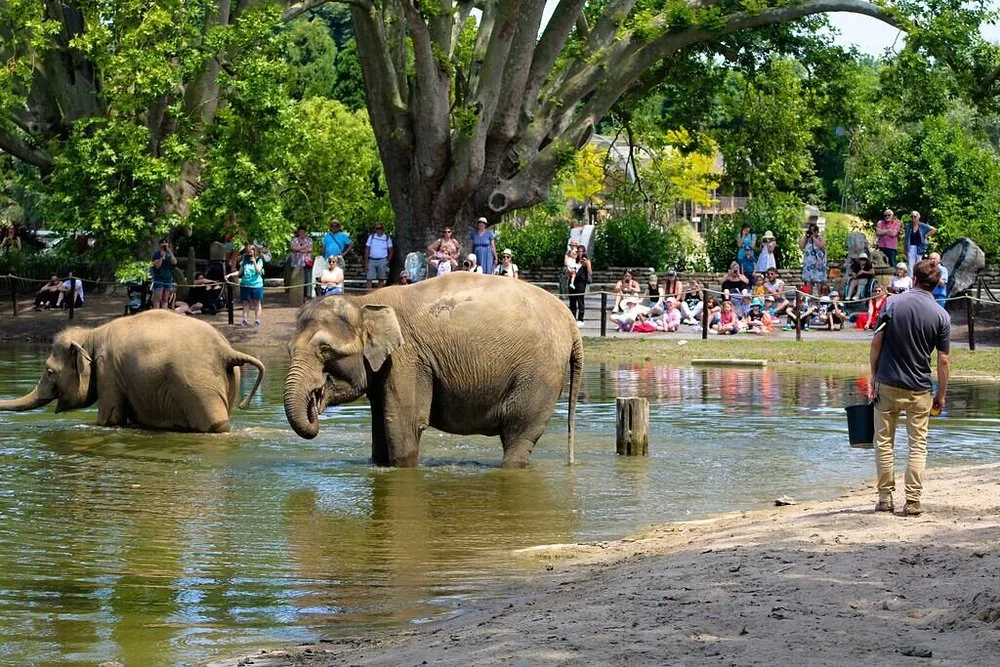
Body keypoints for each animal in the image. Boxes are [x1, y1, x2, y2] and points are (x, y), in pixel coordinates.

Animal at [0, 310, 265, 432]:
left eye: (49, 371)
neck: (92, 334)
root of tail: (226, 350)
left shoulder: (108, 370)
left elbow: (109, 419)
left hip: (200, 387)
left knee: (215, 425)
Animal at [283, 272, 583, 468]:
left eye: (325, 350)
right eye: (288, 350)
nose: (315, 402)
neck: (365, 302)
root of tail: (569, 320)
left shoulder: (408, 359)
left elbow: (402, 423)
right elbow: (381, 423)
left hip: (538, 375)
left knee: (518, 434)